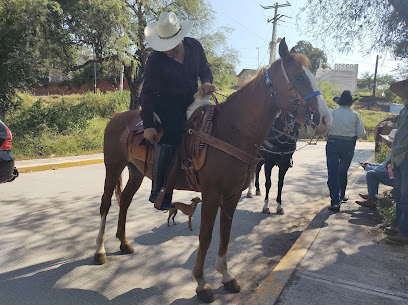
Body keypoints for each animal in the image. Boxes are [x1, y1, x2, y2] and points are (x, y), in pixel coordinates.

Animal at [93, 39, 332, 302]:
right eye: (298, 77)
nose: (325, 119)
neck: (231, 131)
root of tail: (117, 118)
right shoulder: (211, 194)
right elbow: (206, 236)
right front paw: (201, 283)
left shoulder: (232, 195)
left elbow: (224, 234)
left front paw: (226, 276)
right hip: (112, 167)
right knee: (106, 204)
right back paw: (99, 251)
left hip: (135, 171)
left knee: (124, 200)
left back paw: (124, 242)